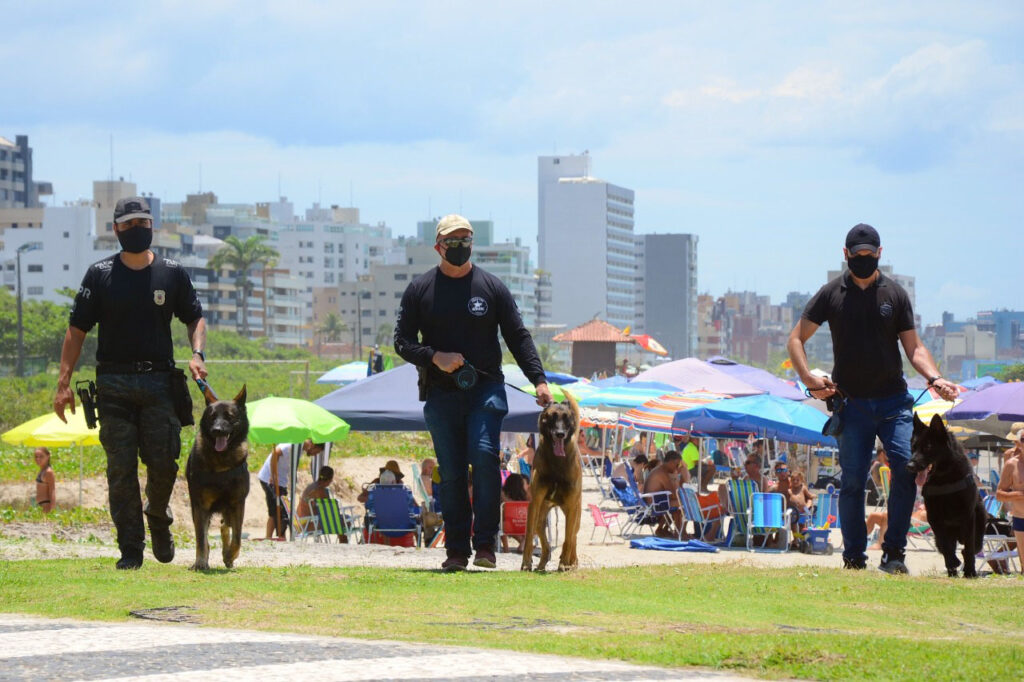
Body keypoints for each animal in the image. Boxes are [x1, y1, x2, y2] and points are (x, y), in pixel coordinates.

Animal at [185, 382, 248, 569]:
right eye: (212, 417)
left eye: (229, 416)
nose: (217, 430)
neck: (221, 460)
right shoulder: (201, 506)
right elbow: (201, 539)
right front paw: (200, 562)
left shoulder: (238, 503)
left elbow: (237, 538)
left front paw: (229, 555)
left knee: (226, 526)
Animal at [909, 411, 987, 577]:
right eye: (913, 447)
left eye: (928, 446)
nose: (909, 466)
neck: (944, 479)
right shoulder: (934, 518)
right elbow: (945, 544)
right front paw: (952, 562)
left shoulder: (968, 516)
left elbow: (969, 548)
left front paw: (970, 571)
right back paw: (952, 569)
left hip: (978, 524)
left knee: (973, 546)